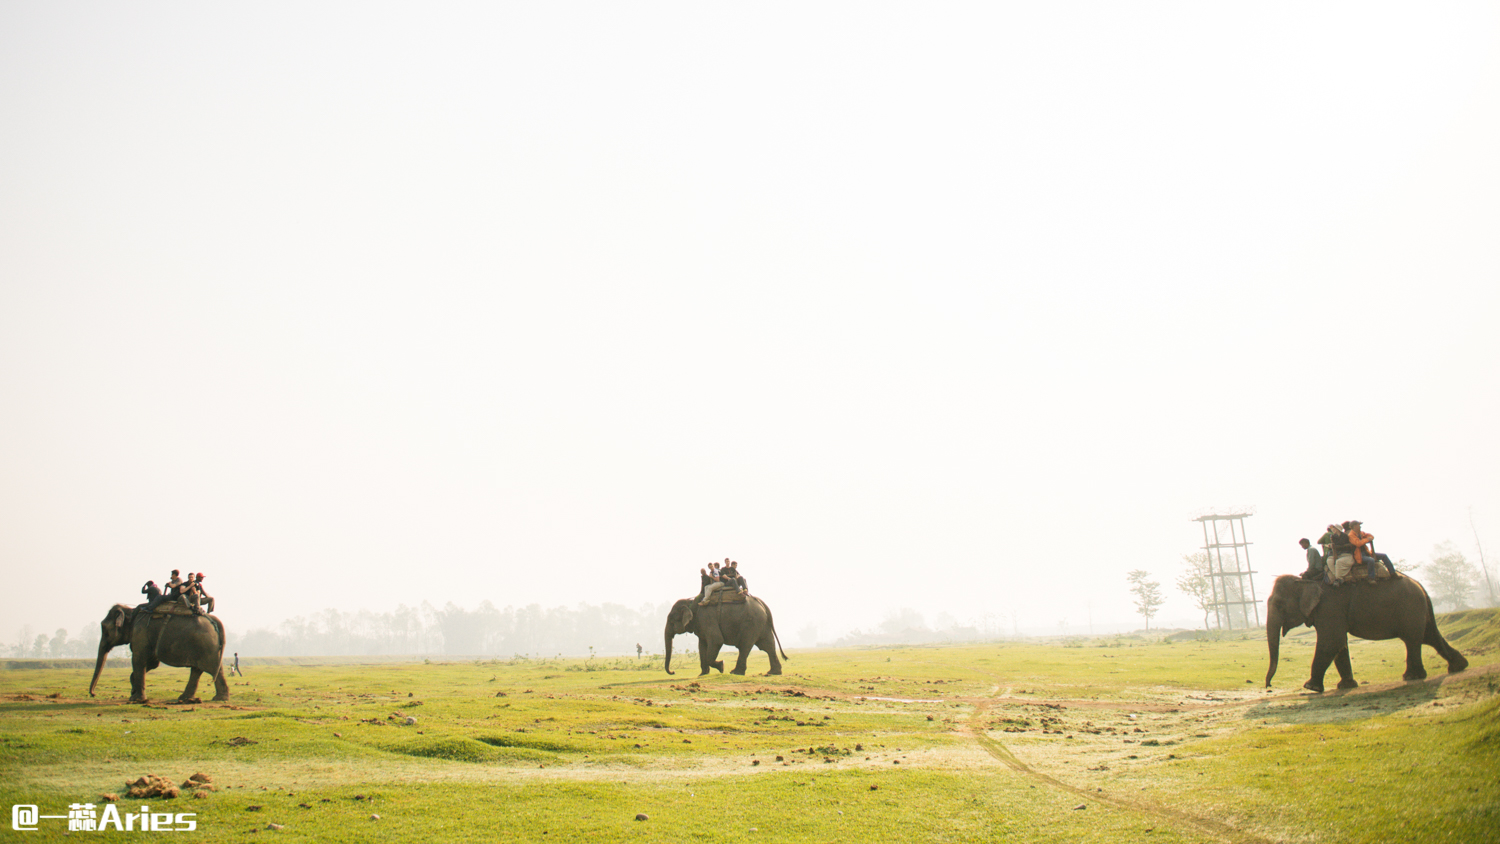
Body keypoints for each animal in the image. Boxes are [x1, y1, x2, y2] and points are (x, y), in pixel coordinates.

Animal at [87, 605, 226, 704]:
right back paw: (187, 698)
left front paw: (136, 699)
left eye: (104, 628)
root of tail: (213, 619)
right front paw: (133, 692)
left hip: (206, 645)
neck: (131, 611)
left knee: (210, 668)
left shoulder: (140, 633)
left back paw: (218, 698)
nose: (93, 694)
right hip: (205, 647)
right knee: (199, 669)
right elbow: (153, 663)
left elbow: (138, 660)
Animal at [663, 593, 792, 680]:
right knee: (768, 645)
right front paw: (702, 674)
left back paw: (735, 672)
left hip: (751, 623)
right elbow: (702, 646)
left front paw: (722, 666)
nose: (673, 672)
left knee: (745, 646)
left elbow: (716, 641)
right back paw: (773, 672)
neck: (691, 602)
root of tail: (761, 603)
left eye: (671, 621)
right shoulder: (701, 623)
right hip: (762, 624)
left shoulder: (707, 618)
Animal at [1266, 575, 1464, 692]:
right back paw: (1459, 666)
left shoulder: (1329, 608)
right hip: (1417, 611)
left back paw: (1412, 677)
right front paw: (1346, 686)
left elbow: (1331, 641)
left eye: (1279, 605)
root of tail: (1420, 586)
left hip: (1410, 608)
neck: (1305, 580)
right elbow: (1339, 644)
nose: (1269, 685)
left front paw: (1310, 687)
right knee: (1428, 637)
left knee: (1413, 640)